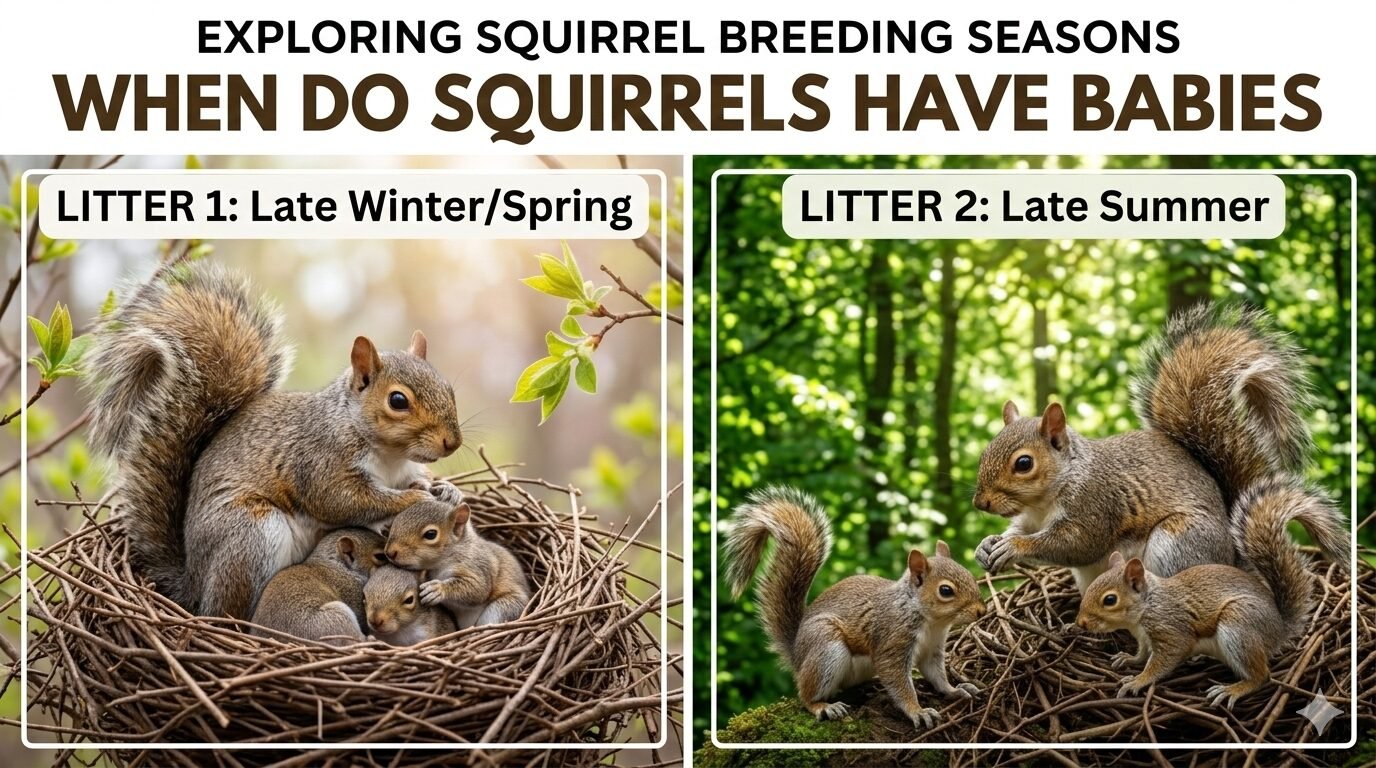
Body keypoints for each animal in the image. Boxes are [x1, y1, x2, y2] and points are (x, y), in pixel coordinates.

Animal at [87, 263, 463, 620]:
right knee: (225, 610)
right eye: (397, 401)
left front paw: (446, 490)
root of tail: (192, 585)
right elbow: (344, 501)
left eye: (449, 388)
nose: (453, 443)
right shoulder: (320, 462)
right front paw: (412, 498)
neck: (390, 456)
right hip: (251, 535)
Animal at [384, 497, 531, 628]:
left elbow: (478, 588)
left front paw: (438, 589)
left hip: (504, 608)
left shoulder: (478, 565)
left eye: (431, 534)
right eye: (396, 521)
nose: (390, 553)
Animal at [724, 486, 986, 729]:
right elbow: (899, 681)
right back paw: (823, 706)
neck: (930, 621)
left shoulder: (933, 649)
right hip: (825, 648)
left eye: (969, 574)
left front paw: (955, 690)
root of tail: (797, 652)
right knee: (805, 695)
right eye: (946, 591)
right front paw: (918, 711)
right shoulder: (893, 641)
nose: (981, 611)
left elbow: (937, 676)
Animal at [972, 303, 1314, 592]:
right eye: (984, 453)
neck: (1046, 498)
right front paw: (988, 544)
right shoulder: (1030, 518)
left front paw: (1015, 548)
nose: (980, 503)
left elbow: (1075, 544)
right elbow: (1017, 528)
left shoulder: (1095, 506)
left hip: (1176, 543)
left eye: (1024, 464)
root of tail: (1233, 558)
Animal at [1075, 476, 1348, 708]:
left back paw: (1233, 689)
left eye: (1110, 599)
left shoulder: (1172, 630)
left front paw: (1137, 681)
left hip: (1240, 625)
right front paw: (1130, 660)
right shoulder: (1144, 638)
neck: (1147, 605)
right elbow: (1143, 654)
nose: (1081, 623)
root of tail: (1280, 627)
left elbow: (1163, 660)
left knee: (1262, 676)